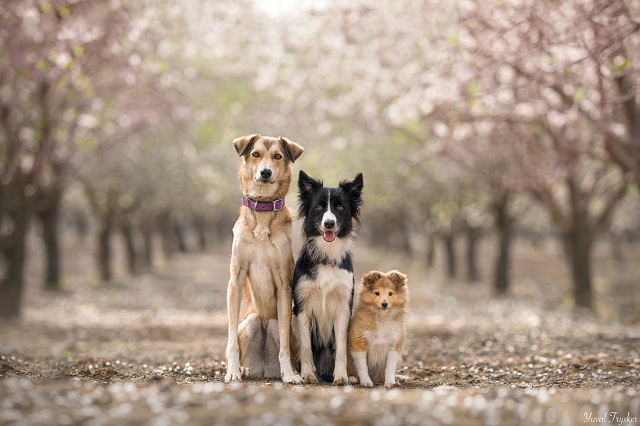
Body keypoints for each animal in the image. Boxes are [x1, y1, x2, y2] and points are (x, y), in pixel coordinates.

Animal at [225, 133, 304, 382]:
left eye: (277, 156)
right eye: (256, 154)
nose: (265, 172)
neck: (262, 210)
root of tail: (264, 368)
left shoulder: (283, 283)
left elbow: (285, 348)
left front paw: (290, 376)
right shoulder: (236, 279)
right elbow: (231, 340)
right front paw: (232, 372)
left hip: (275, 324)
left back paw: (290, 371)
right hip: (250, 321)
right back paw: (243, 369)